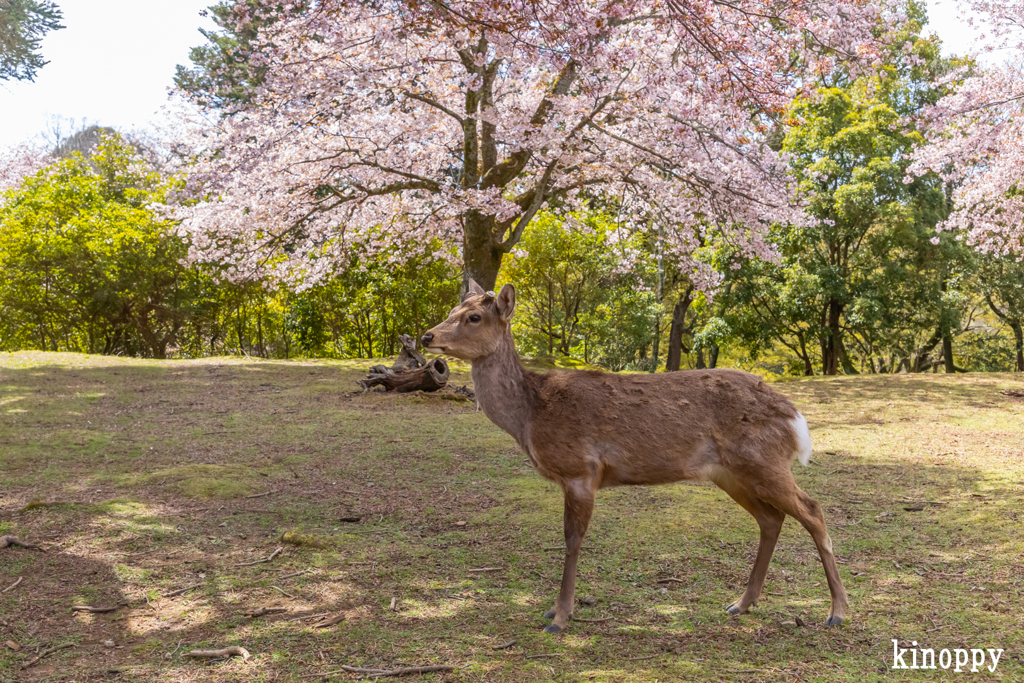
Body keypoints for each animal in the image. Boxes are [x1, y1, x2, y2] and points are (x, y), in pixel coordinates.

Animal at [419, 280, 843, 634]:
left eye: (473, 317)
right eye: (453, 309)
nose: (427, 336)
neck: (530, 415)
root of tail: (795, 417)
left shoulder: (581, 470)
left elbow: (572, 540)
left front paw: (559, 617)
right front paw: (555, 609)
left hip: (763, 461)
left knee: (813, 510)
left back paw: (836, 611)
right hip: (730, 473)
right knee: (771, 519)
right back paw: (741, 603)